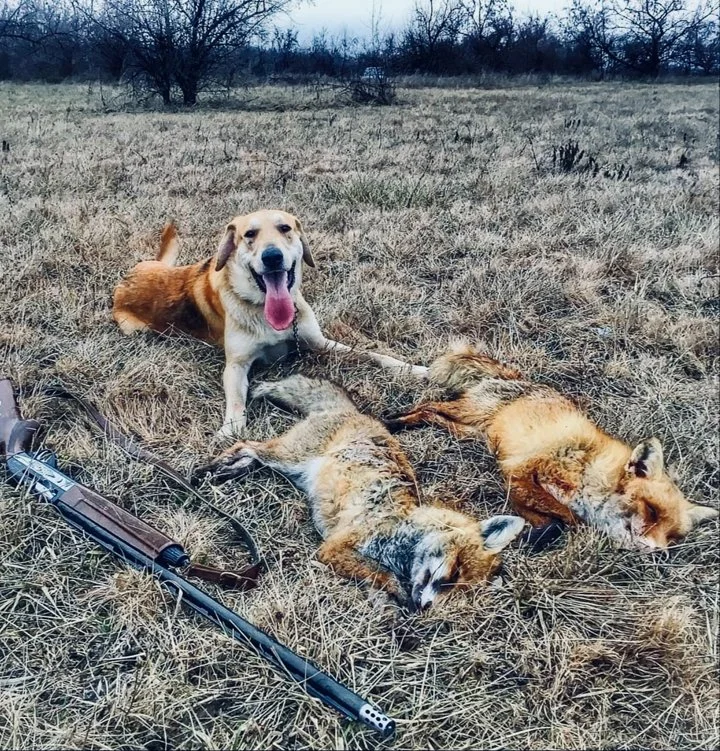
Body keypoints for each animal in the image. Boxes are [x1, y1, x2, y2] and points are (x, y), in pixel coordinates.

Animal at [194, 374, 526, 611]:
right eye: (454, 573)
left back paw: (225, 472)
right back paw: (210, 468)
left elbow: (377, 583)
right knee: (245, 445)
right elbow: (381, 575)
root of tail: (354, 413)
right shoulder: (335, 548)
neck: (401, 529)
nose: (426, 607)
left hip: (285, 465)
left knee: (251, 458)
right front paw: (399, 596)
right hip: (288, 457)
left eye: (459, 589)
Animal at [385, 342, 718, 551]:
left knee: (432, 414)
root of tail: (520, 378)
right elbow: (567, 519)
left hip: (468, 431)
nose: (659, 551)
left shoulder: (516, 481)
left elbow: (553, 521)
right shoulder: (523, 473)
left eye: (673, 535)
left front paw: (535, 537)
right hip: (469, 413)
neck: (595, 478)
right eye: (651, 511)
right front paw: (540, 535)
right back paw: (393, 422)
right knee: (428, 405)